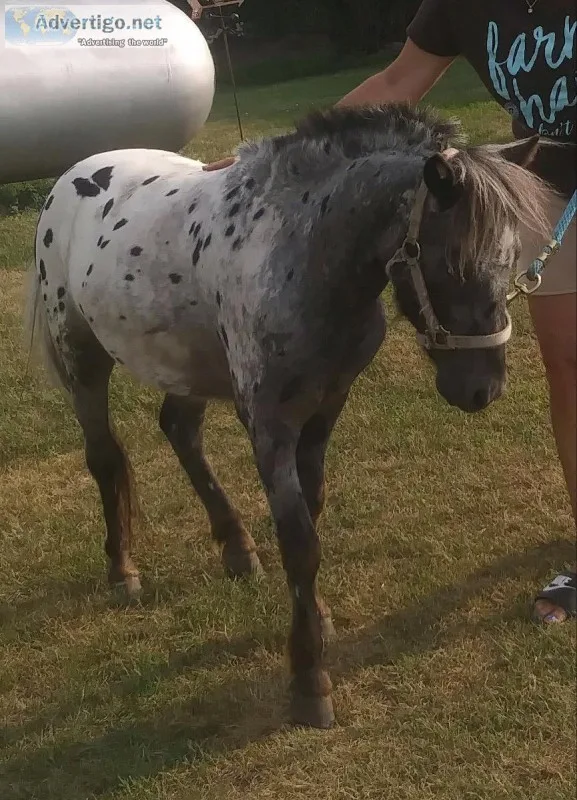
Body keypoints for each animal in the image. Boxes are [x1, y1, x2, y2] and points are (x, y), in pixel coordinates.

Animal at [26, 103, 551, 729]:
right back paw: (123, 570)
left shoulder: (325, 408)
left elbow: (312, 513)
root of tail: (71, 177)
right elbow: (299, 539)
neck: (301, 254)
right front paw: (308, 679)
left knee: (180, 430)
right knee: (105, 457)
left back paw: (235, 547)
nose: (481, 389)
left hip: (188, 363)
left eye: (511, 260)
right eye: (450, 262)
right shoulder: (268, 424)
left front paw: (316, 619)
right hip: (82, 356)